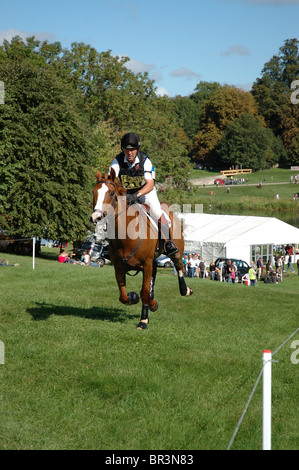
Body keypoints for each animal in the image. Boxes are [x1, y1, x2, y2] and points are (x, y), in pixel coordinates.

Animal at [91, 170, 193, 330]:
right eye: (94, 192)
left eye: (111, 193)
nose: (96, 217)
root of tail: (167, 207)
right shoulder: (119, 267)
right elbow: (123, 296)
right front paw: (136, 298)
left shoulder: (146, 264)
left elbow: (144, 292)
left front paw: (143, 320)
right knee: (156, 270)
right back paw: (152, 302)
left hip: (176, 250)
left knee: (179, 265)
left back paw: (185, 290)